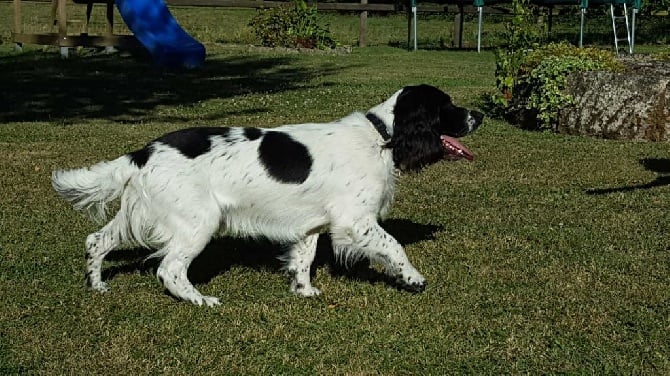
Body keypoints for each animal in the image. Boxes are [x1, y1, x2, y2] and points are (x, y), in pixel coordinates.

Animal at [52, 85, 484, 306]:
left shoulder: (311, 224)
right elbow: (394, 246)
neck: (382, 136)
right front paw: (413, 279)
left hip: (140, 214)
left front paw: (304, 291)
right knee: (169, 269)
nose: (480, 115)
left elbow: (303, 259)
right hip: (197, 222)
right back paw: (200, 300)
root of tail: (143, 153)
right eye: (447, 106)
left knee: (96, 240)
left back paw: (97, 286)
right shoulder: (355, 221)